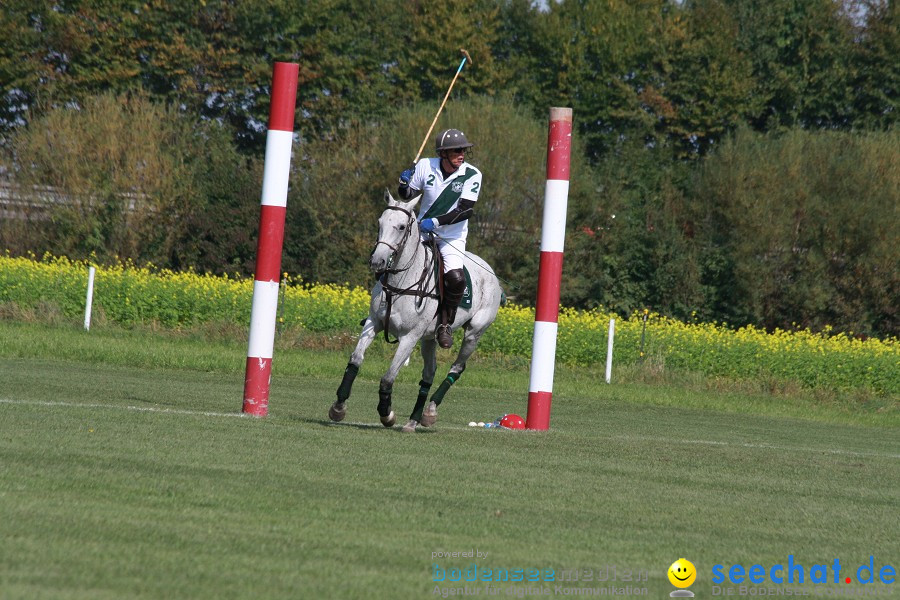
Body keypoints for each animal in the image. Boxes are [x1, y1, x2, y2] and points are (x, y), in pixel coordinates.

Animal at [328, 191, 502, 432]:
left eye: (401, 227)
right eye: (380, 223)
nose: (377, 261)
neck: (400, 282)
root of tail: (492, 273)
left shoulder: (409, 337)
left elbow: (388, 377)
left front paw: (387, 414)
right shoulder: (374, 323)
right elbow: (355, 360)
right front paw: (338, 407)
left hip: (474, 332)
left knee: (457, 367)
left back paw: (430, 411)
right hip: (429, 338)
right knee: (429, 372)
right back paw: (414, 419)